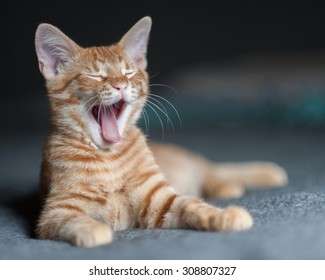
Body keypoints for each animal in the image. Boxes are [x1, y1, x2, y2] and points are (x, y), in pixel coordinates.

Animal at [34, 16, 284, 246]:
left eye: (128, 73)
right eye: (96, 75)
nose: (120, 85)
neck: (109, 157)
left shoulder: (156, 198)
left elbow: (191, 204)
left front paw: (223, 214)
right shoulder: (57, 211)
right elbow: (71, 220)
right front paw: (93, 230)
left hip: (195, 166)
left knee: (212, 170)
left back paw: (245, 180)